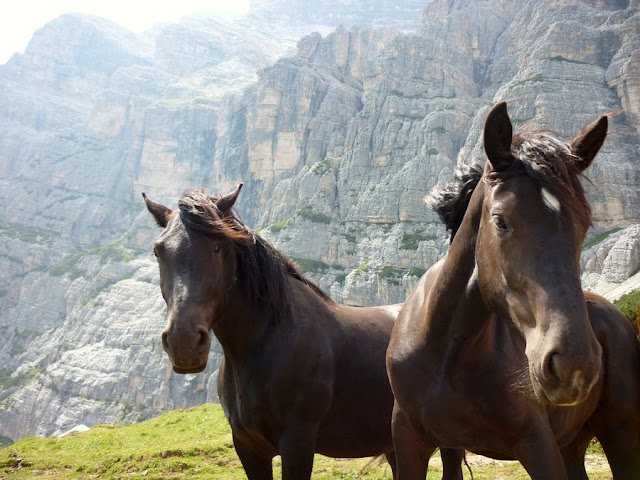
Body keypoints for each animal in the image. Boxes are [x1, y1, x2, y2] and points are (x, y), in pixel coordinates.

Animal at [144, 186, 464, 478]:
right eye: (159, 250)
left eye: (218, 246)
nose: (183, 341)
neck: (268, 342)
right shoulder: (248, 448)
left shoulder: (297, 444)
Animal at [384, 102, 640, 480]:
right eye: (500, 220)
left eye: (584, 225)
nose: (574, 366)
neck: (445, 351)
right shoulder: (412, 443)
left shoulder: (538, 445)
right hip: (573, 443)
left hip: (620, 434)